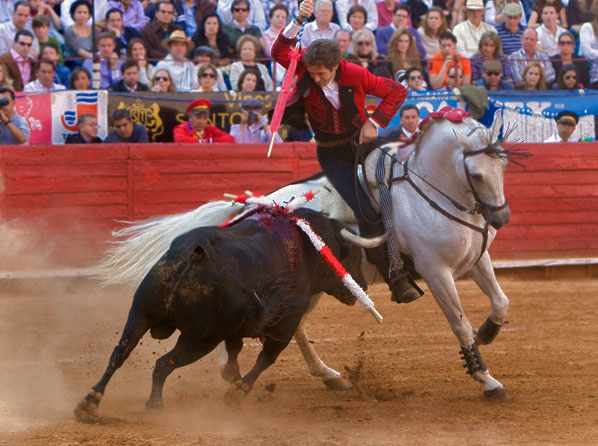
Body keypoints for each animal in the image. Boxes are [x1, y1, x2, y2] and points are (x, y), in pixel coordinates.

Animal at [75, 207, 366, 420]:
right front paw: (237, 392)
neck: (307, 249)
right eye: (352, 257)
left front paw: (232, 376)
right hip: (200, 337)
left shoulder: (234, 327)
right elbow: (265, 360)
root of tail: (196, 253)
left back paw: (90, 401)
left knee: (119, 353)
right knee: (163, 364)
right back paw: (154, 405)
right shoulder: (284, 327)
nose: (361, 285)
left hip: (141, 312)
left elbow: (235, 349)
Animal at [96, 110, 516, 398]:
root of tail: (265, 204)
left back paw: (318, 376)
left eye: (504, 165)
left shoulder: (477, 260)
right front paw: (487, 379)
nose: (500, 216)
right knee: (292, 328)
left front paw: (489, 332)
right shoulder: (435, 271)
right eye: (478, 174)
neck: (430, 189)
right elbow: (459, 323)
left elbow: (501, 301)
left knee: (294, 328)